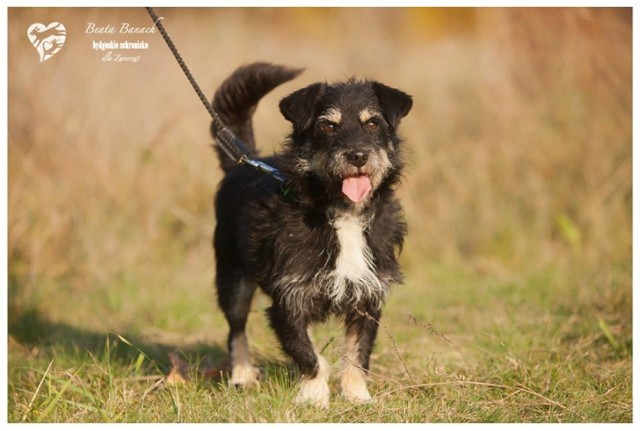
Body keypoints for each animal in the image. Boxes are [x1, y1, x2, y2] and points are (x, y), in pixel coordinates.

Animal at [212, 61, 412, 408]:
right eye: (328, 126)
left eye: (373, 123)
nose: (357, 156)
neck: (343, 213)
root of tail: (243, 161)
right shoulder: (288, 299)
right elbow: (307, 354)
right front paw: (315, 398)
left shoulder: (368, 297)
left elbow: (358, 353)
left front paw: (357, 396)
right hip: (233, 279)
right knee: (236, 329)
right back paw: (242, 374)